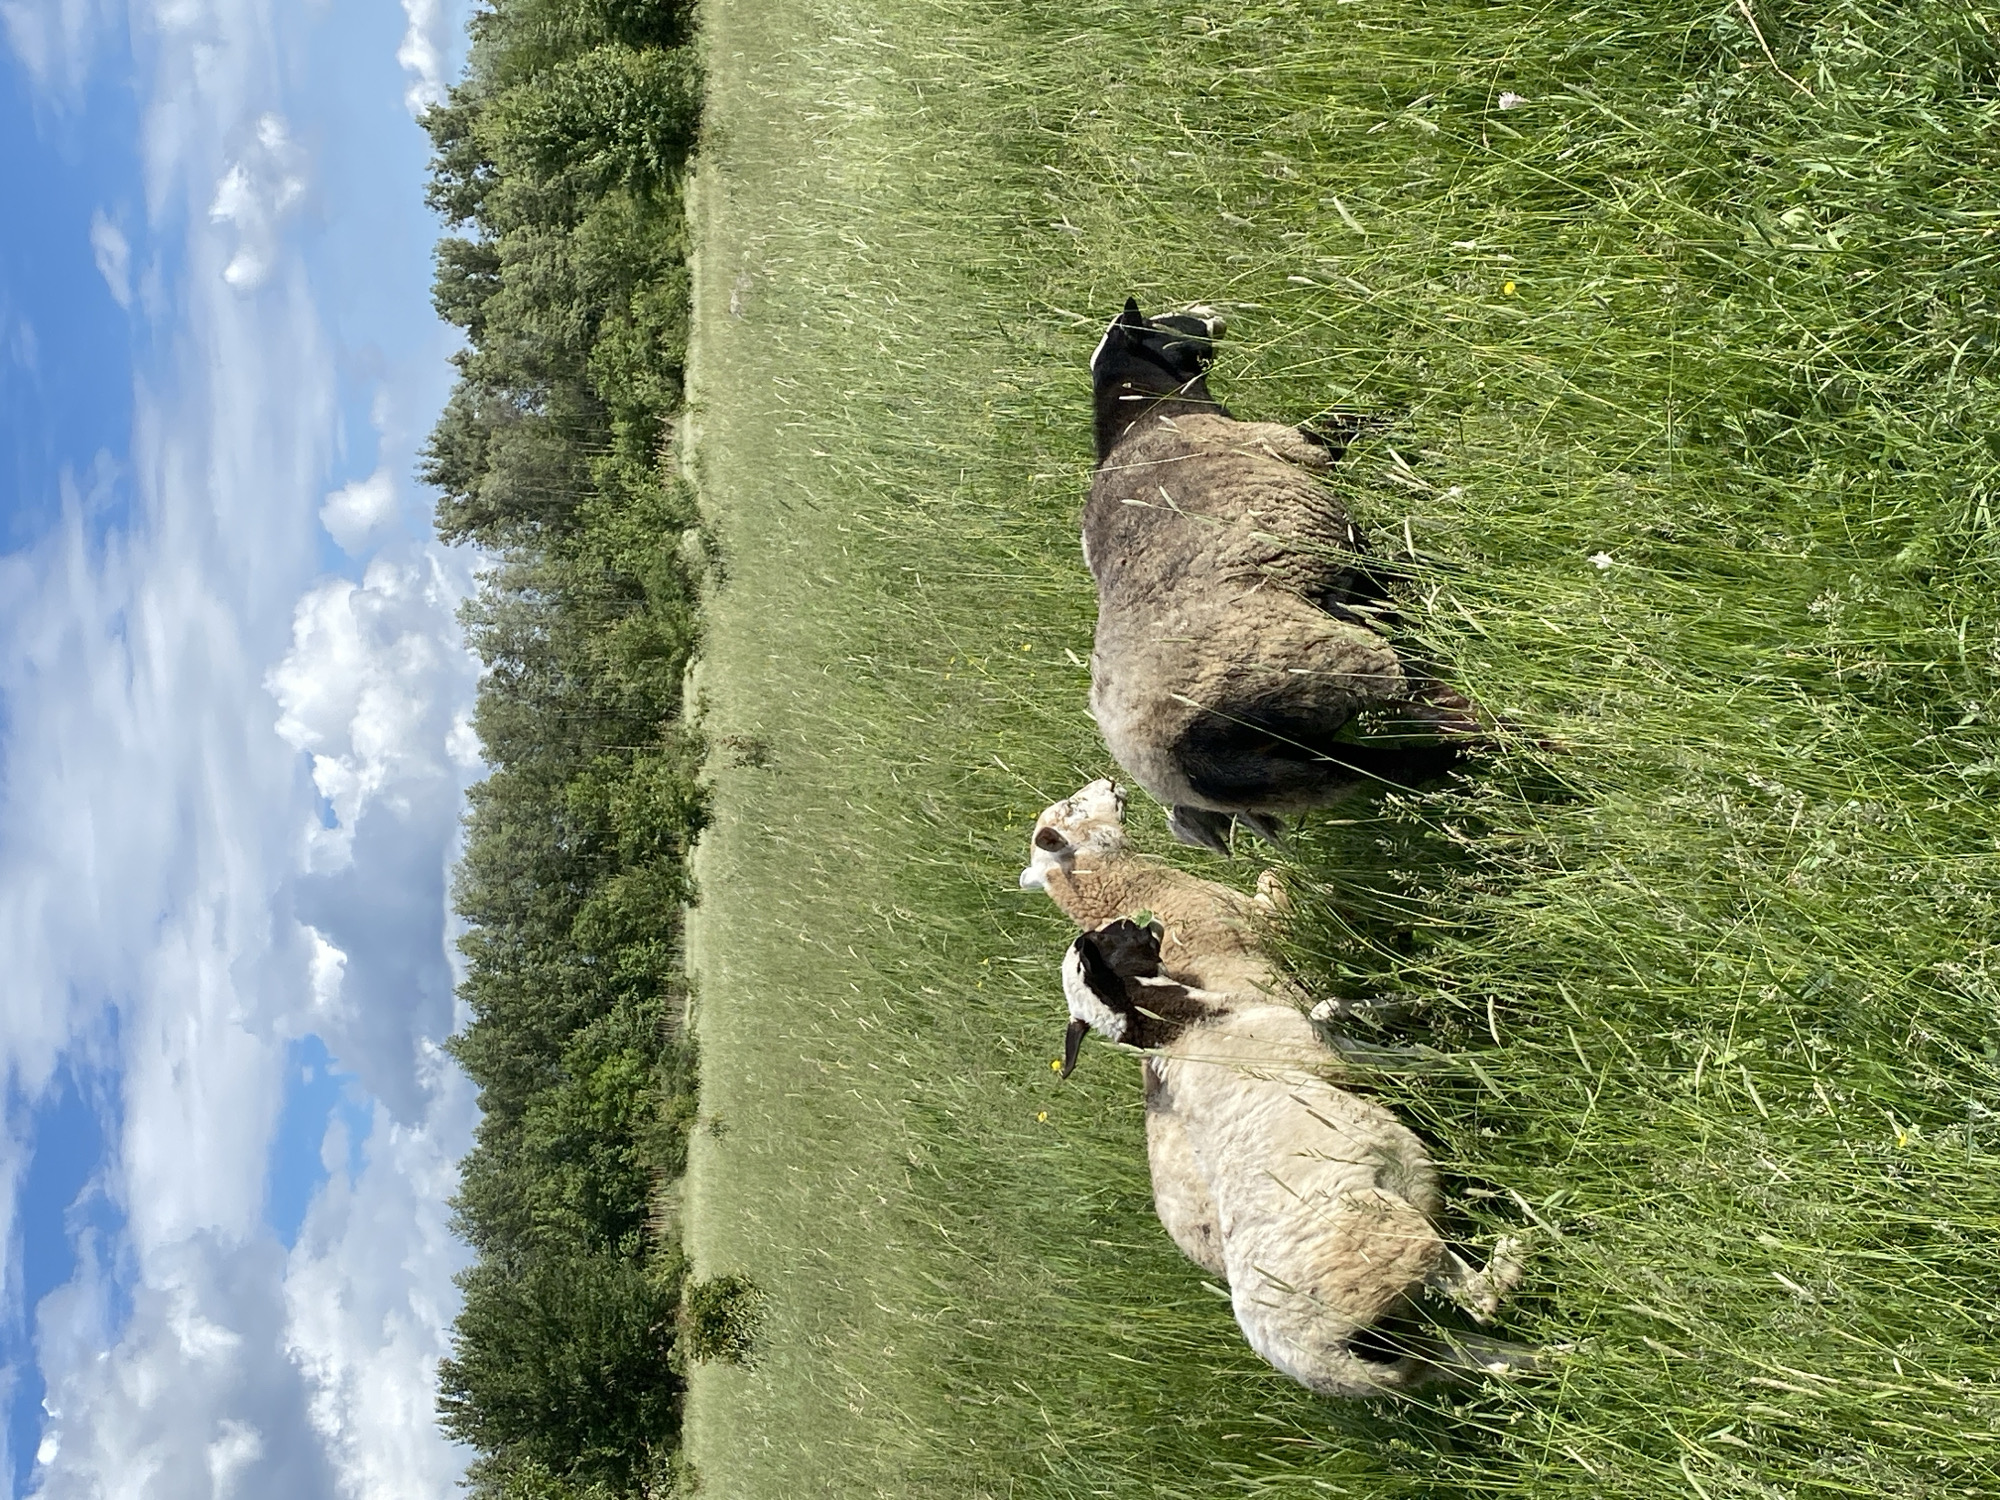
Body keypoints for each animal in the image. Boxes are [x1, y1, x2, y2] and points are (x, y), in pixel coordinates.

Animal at [1060, 920, 1533, 1397]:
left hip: (1409, 1342)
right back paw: (1519, 1246)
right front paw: (1493, 1052)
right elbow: (1420, 1060)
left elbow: (1327, 1007)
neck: (1178, 1027)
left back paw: (1547, 1357)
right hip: (1394, 1236)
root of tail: (1326, 1362)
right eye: (1108, 938)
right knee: (1482, 1301)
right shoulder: (1332, 1056)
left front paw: (1407, 1002)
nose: (1144, 923)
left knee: (1476, 1357)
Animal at [1085, 297, 1485, 853]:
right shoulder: (1296, 449)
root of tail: (1179, 772)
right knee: (1434, 711)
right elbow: (1343, 428)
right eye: (1164, 322)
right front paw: (1401, 420)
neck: (1143, 414)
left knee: (1408, 764)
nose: (1213, 315)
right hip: (1334, 671)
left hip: (1308, 768)